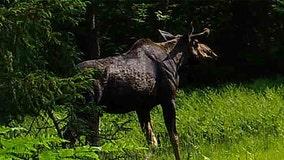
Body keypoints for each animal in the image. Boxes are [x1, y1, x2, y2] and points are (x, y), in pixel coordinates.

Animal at [68, 26, 217, 160]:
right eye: (196, 42)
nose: (212, 53)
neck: (176, 62)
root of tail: (71, 76)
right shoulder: (168, 99)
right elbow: (173, 136)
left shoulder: (142, 108)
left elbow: (152, 142)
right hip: (89, 109)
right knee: (85, 140)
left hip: (79, 110)